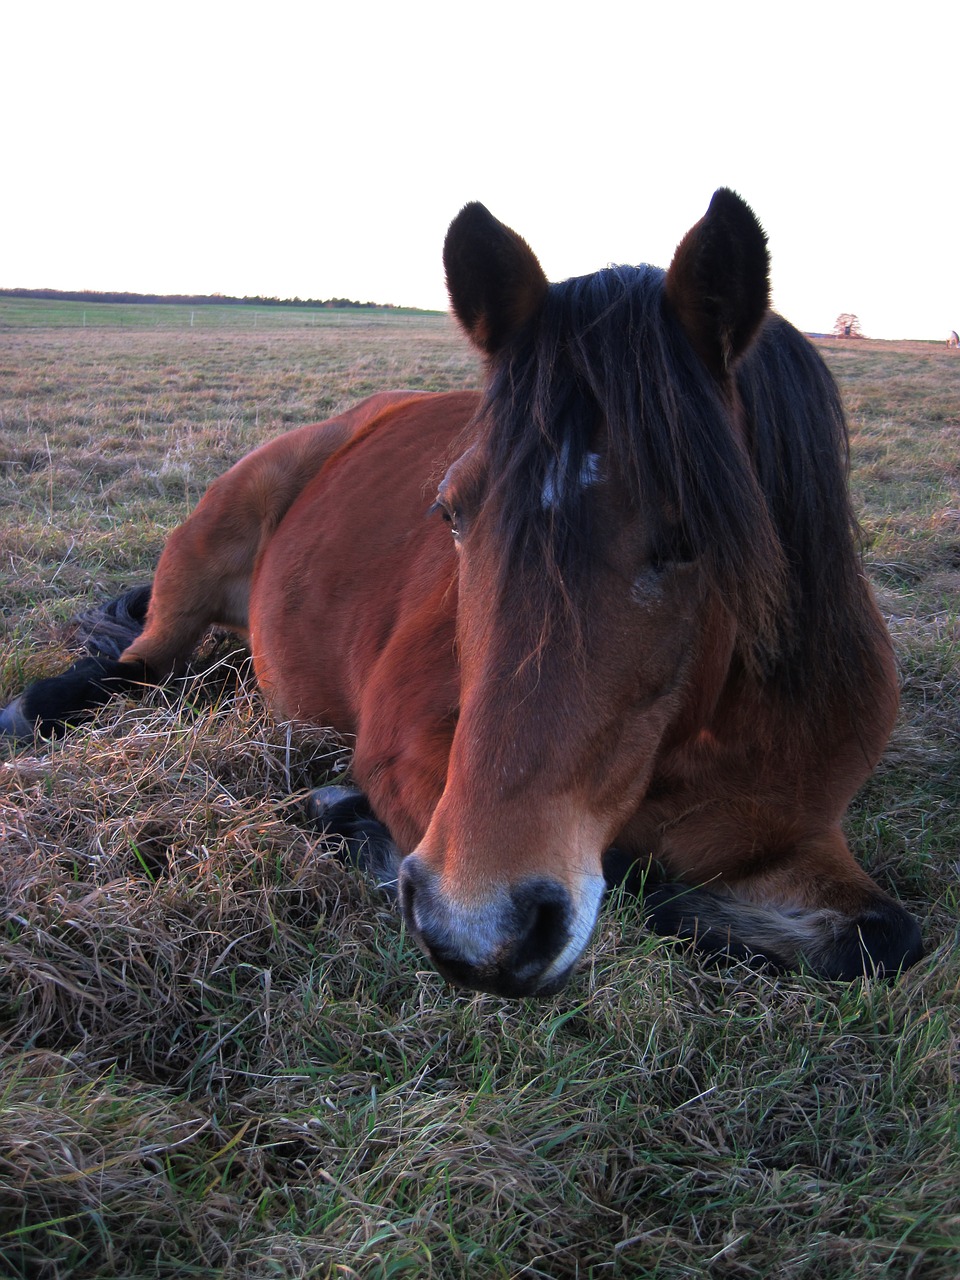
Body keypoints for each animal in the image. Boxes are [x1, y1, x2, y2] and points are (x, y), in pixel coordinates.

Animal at [0, 192, 926, 998]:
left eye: (692, 535)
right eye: (451, 512)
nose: (483, 926)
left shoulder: (801, 832)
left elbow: (883, 940)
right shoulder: (408, 754)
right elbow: (627, 880)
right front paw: (345, 814)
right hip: (204, 551)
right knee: (134, 667)